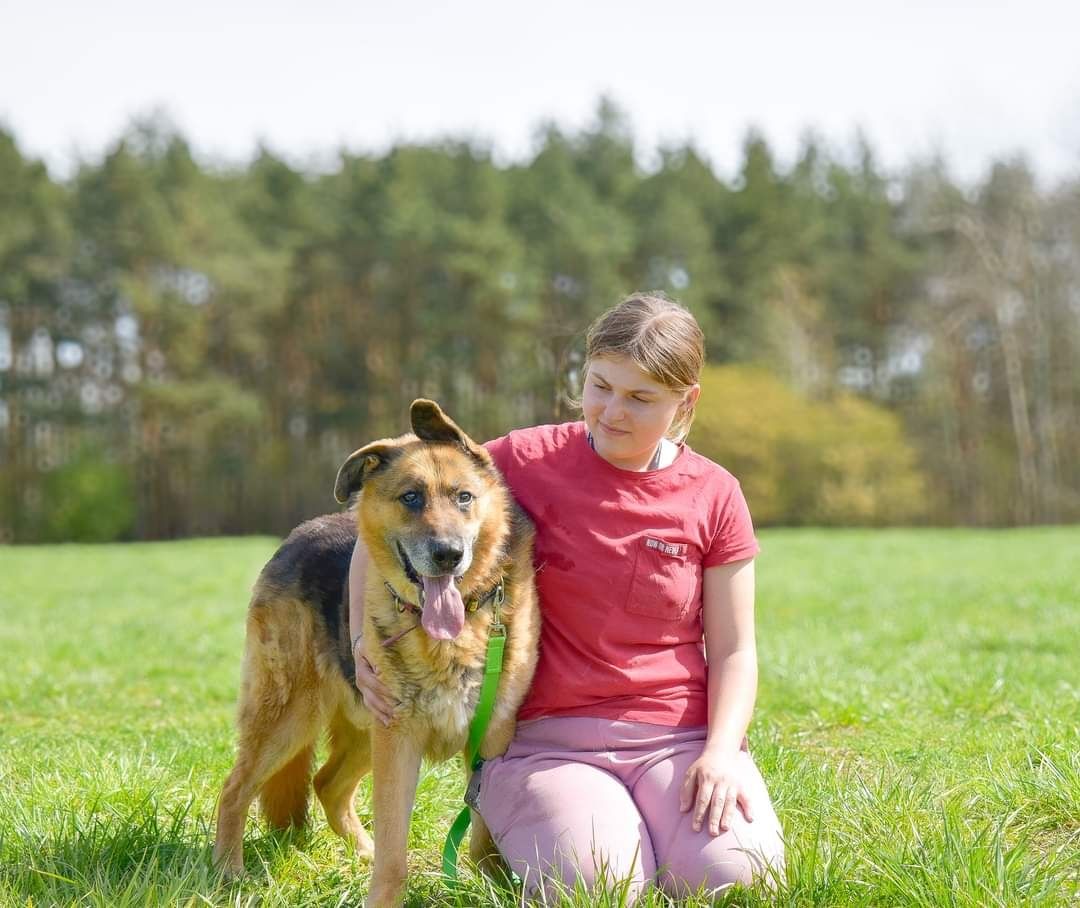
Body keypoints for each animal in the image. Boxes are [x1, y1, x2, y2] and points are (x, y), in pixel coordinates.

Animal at [212, 399, 540, 902]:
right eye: (411, 498)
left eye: (464, 497)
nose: (449, 554)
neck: (453, 630)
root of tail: (300, 532)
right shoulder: (400, 741)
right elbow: (394, 853)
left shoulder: (491, 738)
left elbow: (485, 831)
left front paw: (495, 883)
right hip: (291, 717)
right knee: (234, 789)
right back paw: (229, 870)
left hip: (363, 730)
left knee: (326, 784)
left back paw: (358, 851)